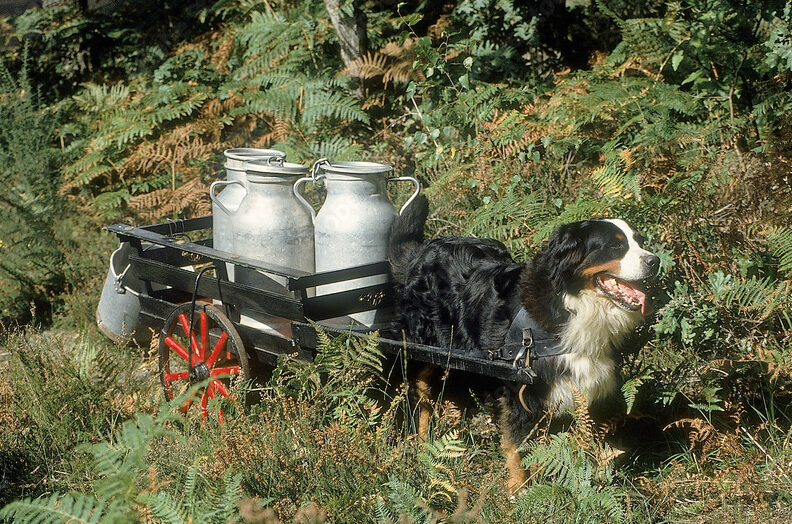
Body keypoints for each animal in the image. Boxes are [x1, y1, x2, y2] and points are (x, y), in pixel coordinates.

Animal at [386, 194, 660, 494]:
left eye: (639, 240)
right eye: (615, 245)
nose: (655, 261)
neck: (573, 306)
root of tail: (424, 251)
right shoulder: (522, 391)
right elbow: (519, 446)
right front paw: (520, 490)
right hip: (427, 349)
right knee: (424, 392)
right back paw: (424, 440)